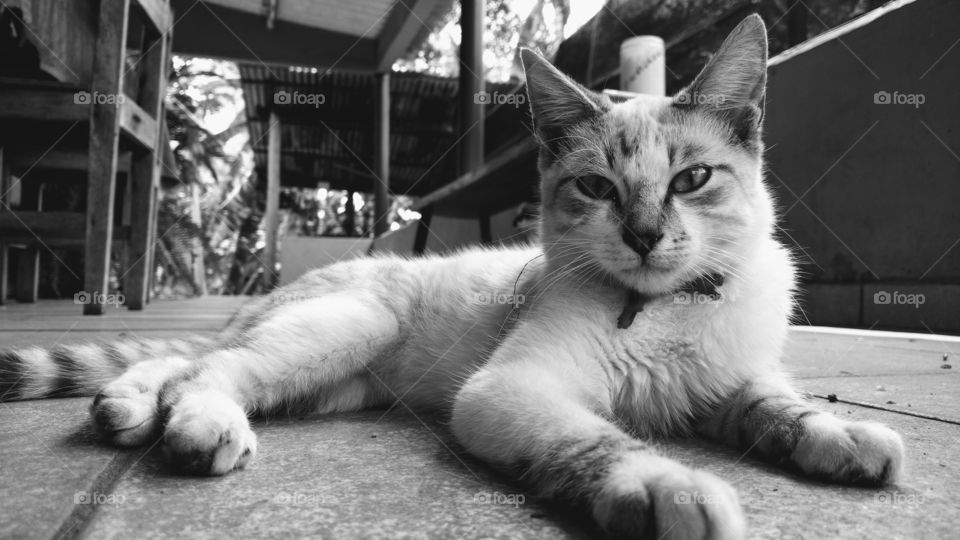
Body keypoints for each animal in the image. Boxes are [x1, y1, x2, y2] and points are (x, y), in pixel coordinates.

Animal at [1, 14, 900, 536]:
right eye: (597, 189)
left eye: (693, 179)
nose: (645, 236)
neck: (665, 311)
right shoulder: (509, 389)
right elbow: (592, 442)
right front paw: (662, 489)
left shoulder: (730, 380)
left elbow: (775, 405)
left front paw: (839, 435)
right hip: (352, 328)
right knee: (209, 368)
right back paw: (194, 424)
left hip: (339, 385)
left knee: (185, 361)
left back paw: (124, 404)